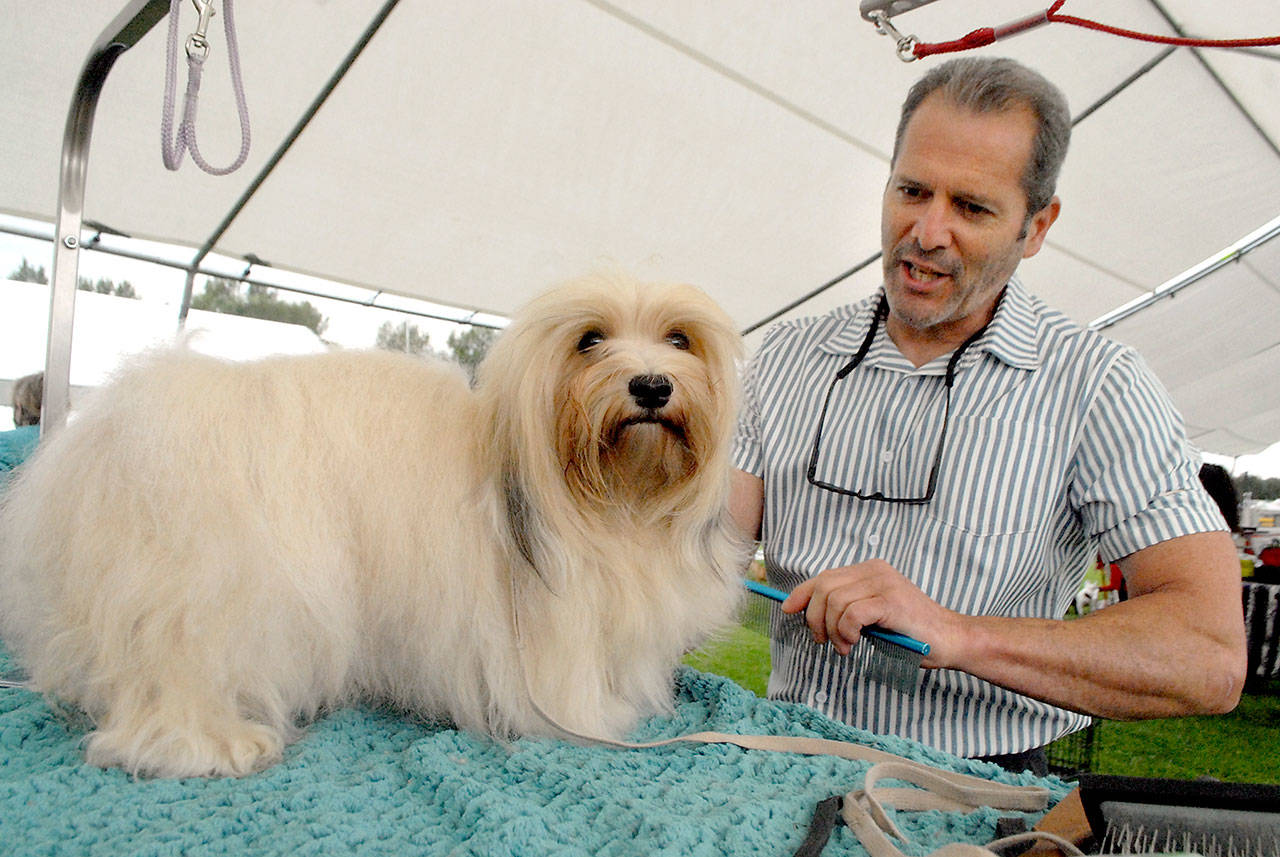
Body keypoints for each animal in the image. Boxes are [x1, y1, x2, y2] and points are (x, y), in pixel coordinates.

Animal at [0, 273, 747, 777]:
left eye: (679, 339)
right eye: (590, 340)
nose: (651, 385)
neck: (610, 500)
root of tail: (115, 425)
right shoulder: (547, 632)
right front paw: (600, 722)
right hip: (205, 588)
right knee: (175, 674)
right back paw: (211, 745)